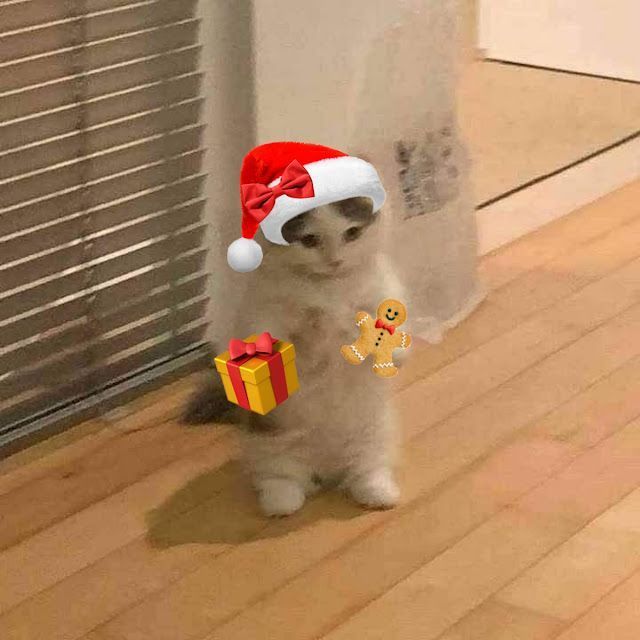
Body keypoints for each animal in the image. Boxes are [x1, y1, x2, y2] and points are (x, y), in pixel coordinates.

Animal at [185, 198, 408, 516]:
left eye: (352, 233)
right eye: (309, 240)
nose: (334, 260)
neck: (329, 286)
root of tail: (327, 468)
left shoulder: (382, 289)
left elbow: (392, 325)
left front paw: (395, 356)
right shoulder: (265, 310)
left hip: (376, 434)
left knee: (367, 470)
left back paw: (379, 493)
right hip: (270, 444)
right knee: (281, 479)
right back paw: (281, 502)